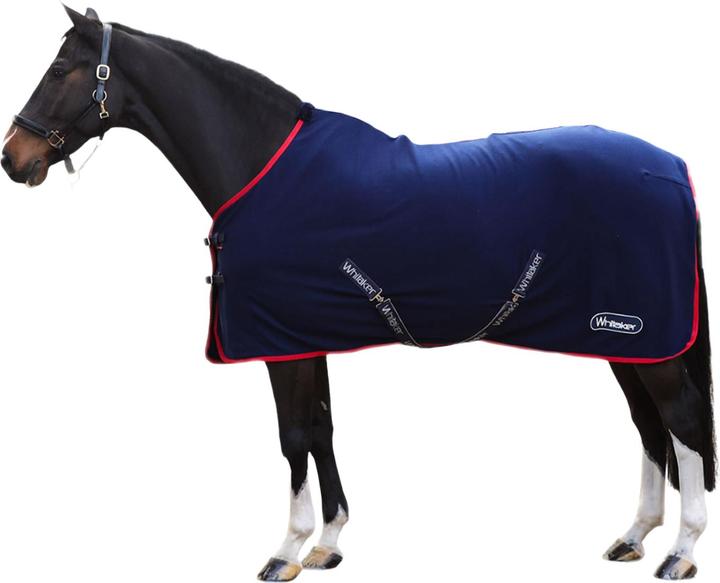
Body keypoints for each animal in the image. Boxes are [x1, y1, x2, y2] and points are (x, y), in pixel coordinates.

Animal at [2, 6, 715, 581]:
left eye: (61, 69)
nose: (14, 158)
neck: (261, 166)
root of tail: (673, 169)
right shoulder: (303, 336)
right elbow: (322, 430)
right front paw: (329, 542)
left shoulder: (281, 344)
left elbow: (293, 436)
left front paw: (285, 551)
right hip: (624, 340)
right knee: (649, 425)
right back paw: (635, 537)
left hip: (643, 337)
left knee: (680, 421)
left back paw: (681, 551)